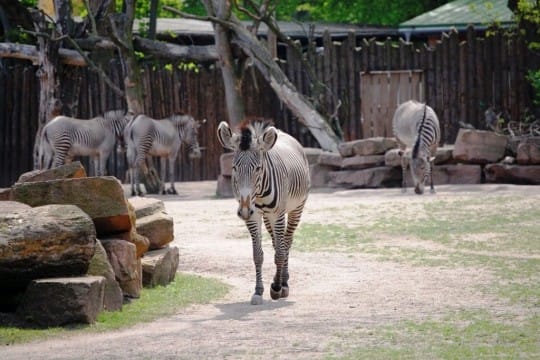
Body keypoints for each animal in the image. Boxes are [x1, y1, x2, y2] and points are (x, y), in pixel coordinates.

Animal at [217, 117, 310, 304]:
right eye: (234, 168)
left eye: (258, 168)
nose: (244, 210)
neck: (258, 196)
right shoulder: (254, 217)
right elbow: (258, 255)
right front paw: (258, 291)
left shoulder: (278, 214)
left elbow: (280, 252)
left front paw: (276, 288)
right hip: (267, 218)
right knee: (277, 243)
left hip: (296, 208)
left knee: (286, 242)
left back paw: (284, 283)